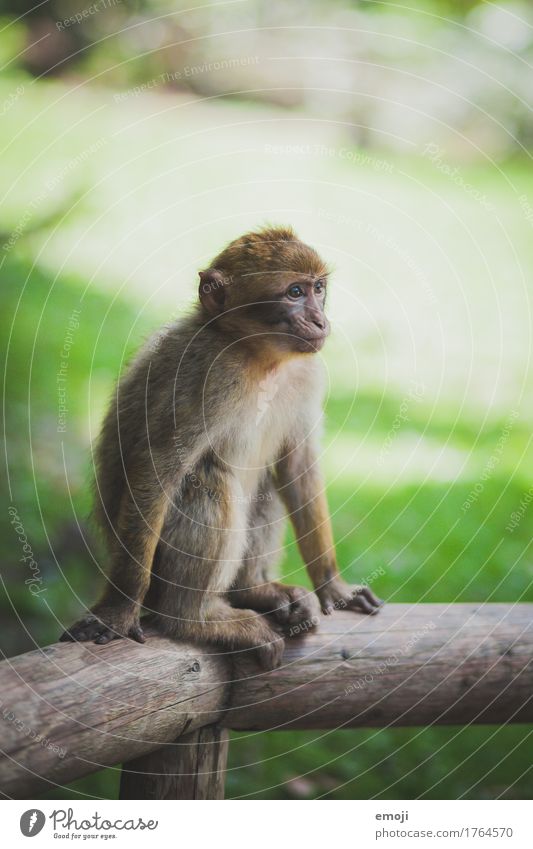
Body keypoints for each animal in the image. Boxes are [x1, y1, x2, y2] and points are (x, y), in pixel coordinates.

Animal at [60, 225, 380, 668]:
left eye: (318, 288)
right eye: (294, 292)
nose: (320, 319)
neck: (259, 358)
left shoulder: (307, 372)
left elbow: (297, 466)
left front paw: (333, 586)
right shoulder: (203, 375)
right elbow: (158, 469)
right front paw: (119, 610)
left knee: (264, 487)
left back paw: (253, 591)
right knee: (209, 479)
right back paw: (194, 619)